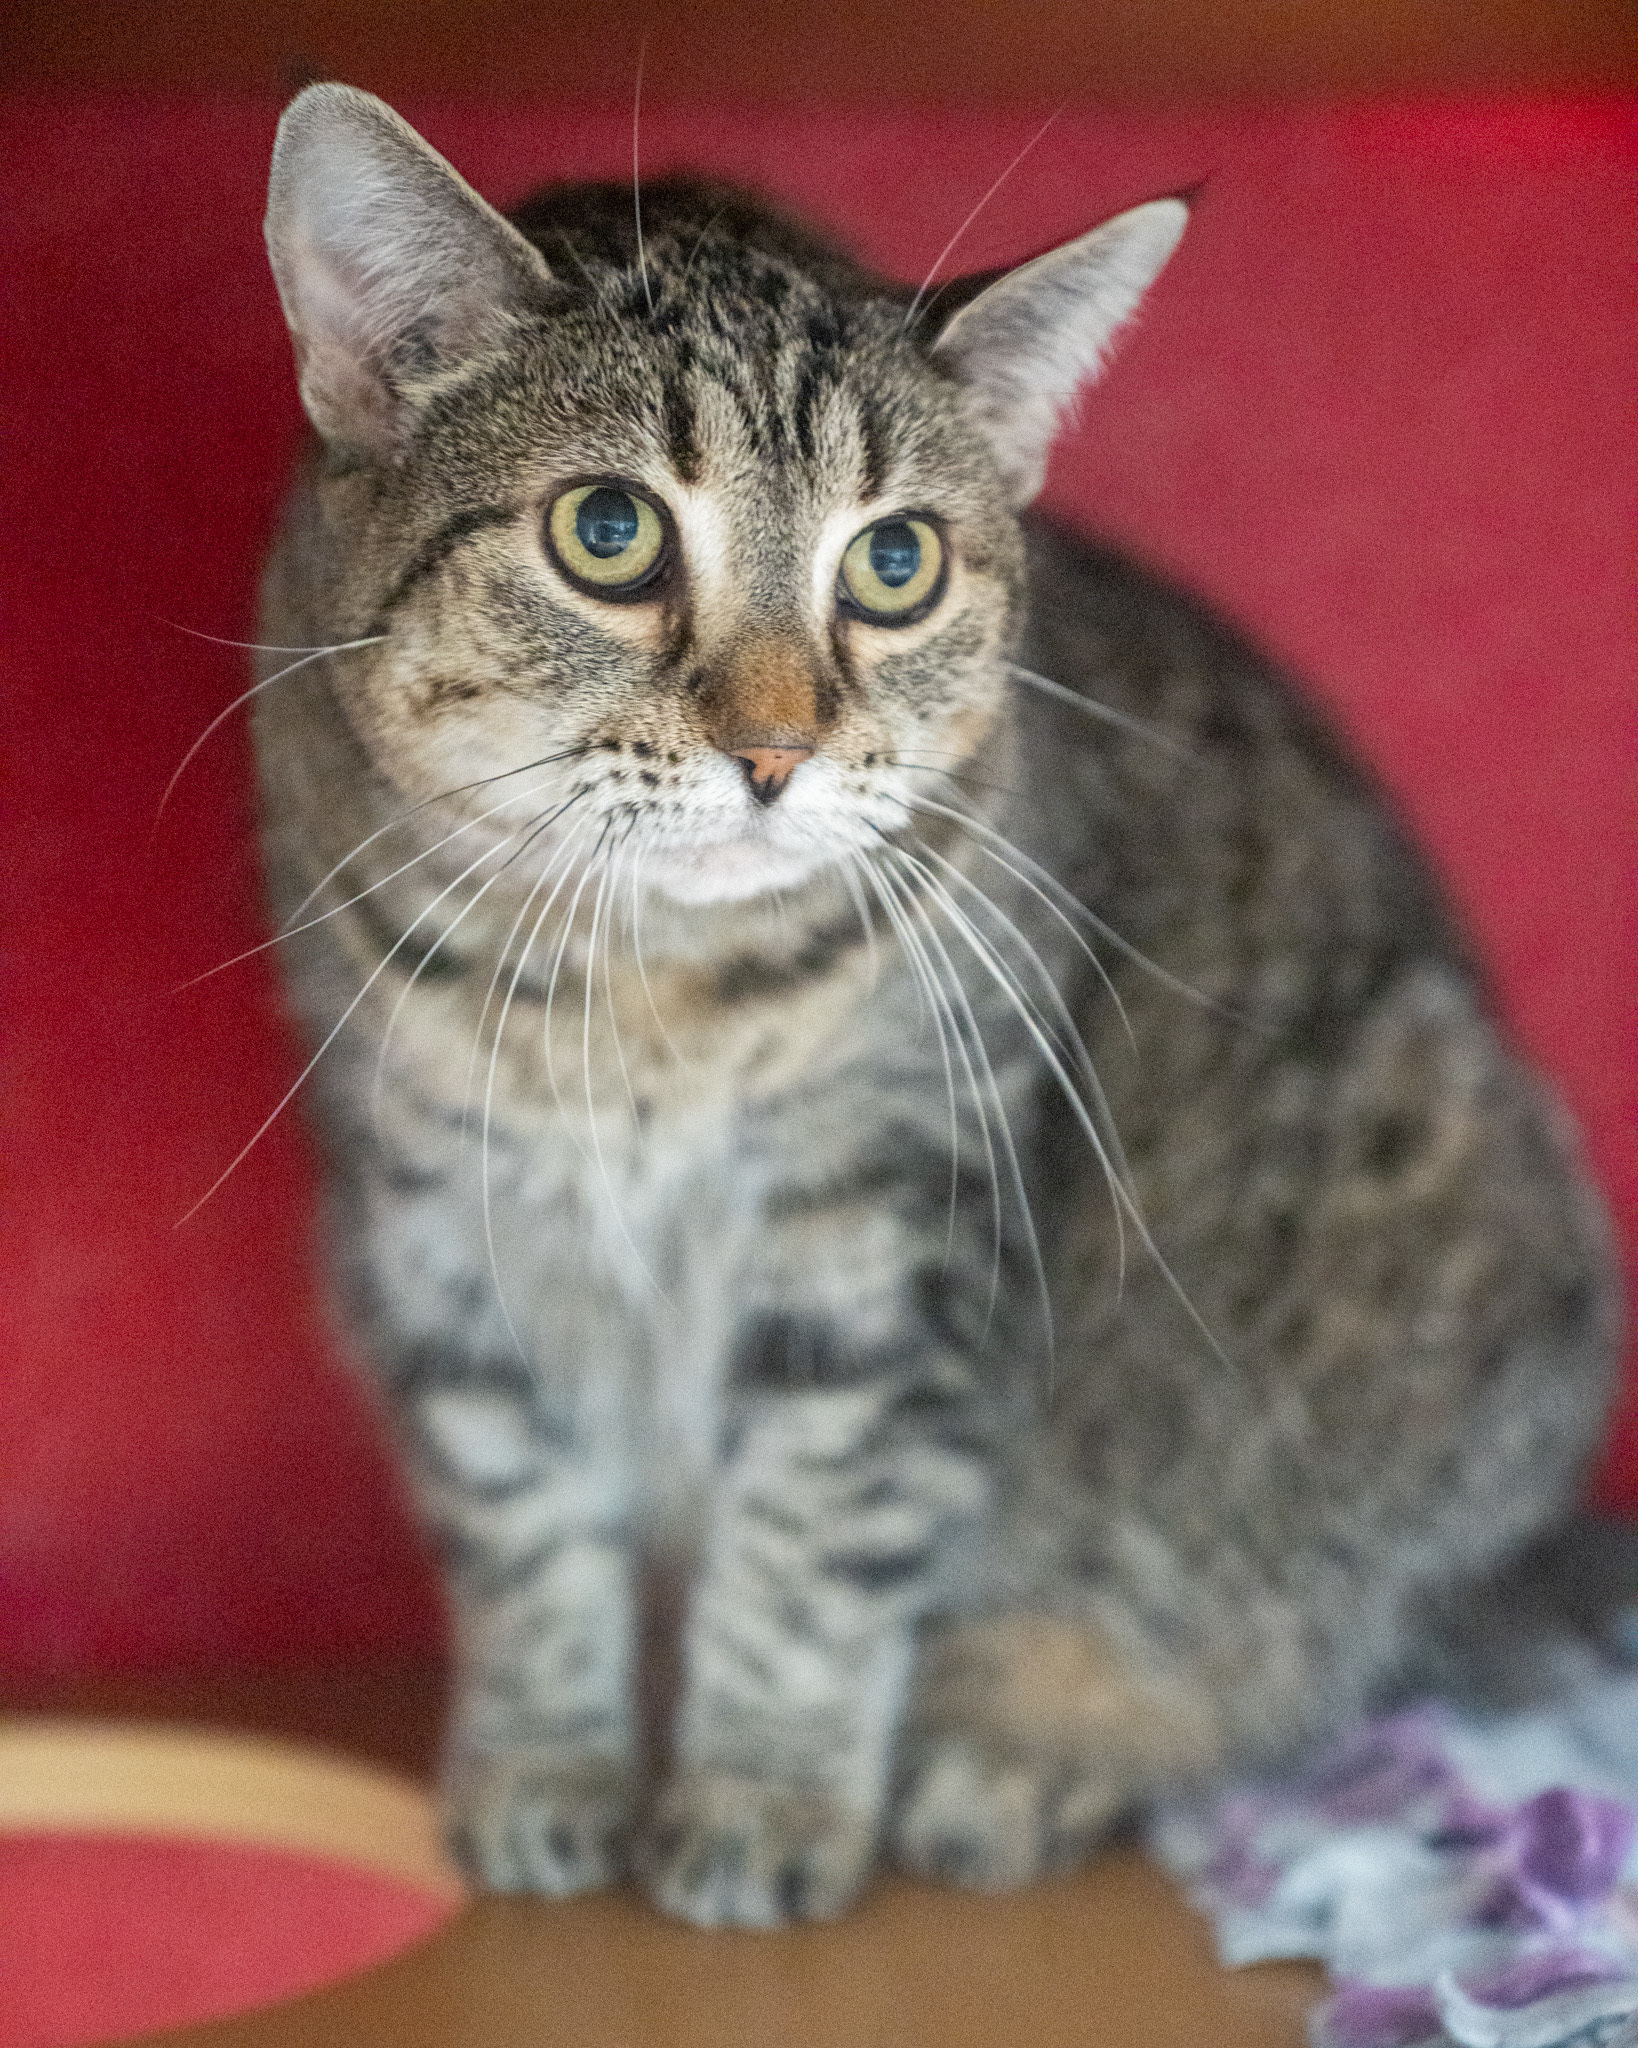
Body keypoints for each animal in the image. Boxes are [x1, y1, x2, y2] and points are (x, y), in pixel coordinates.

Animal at [252, 88, 1613, 1925]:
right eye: (607, 532)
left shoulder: (895, 1226)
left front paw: (760, 1799)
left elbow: (812, 1542)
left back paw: (1025, 1750)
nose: (774, 750)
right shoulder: (428, 1222)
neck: (647, 997)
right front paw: (546, 1766)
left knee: (1278, 1633)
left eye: (891, 562)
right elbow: (518, 1516)